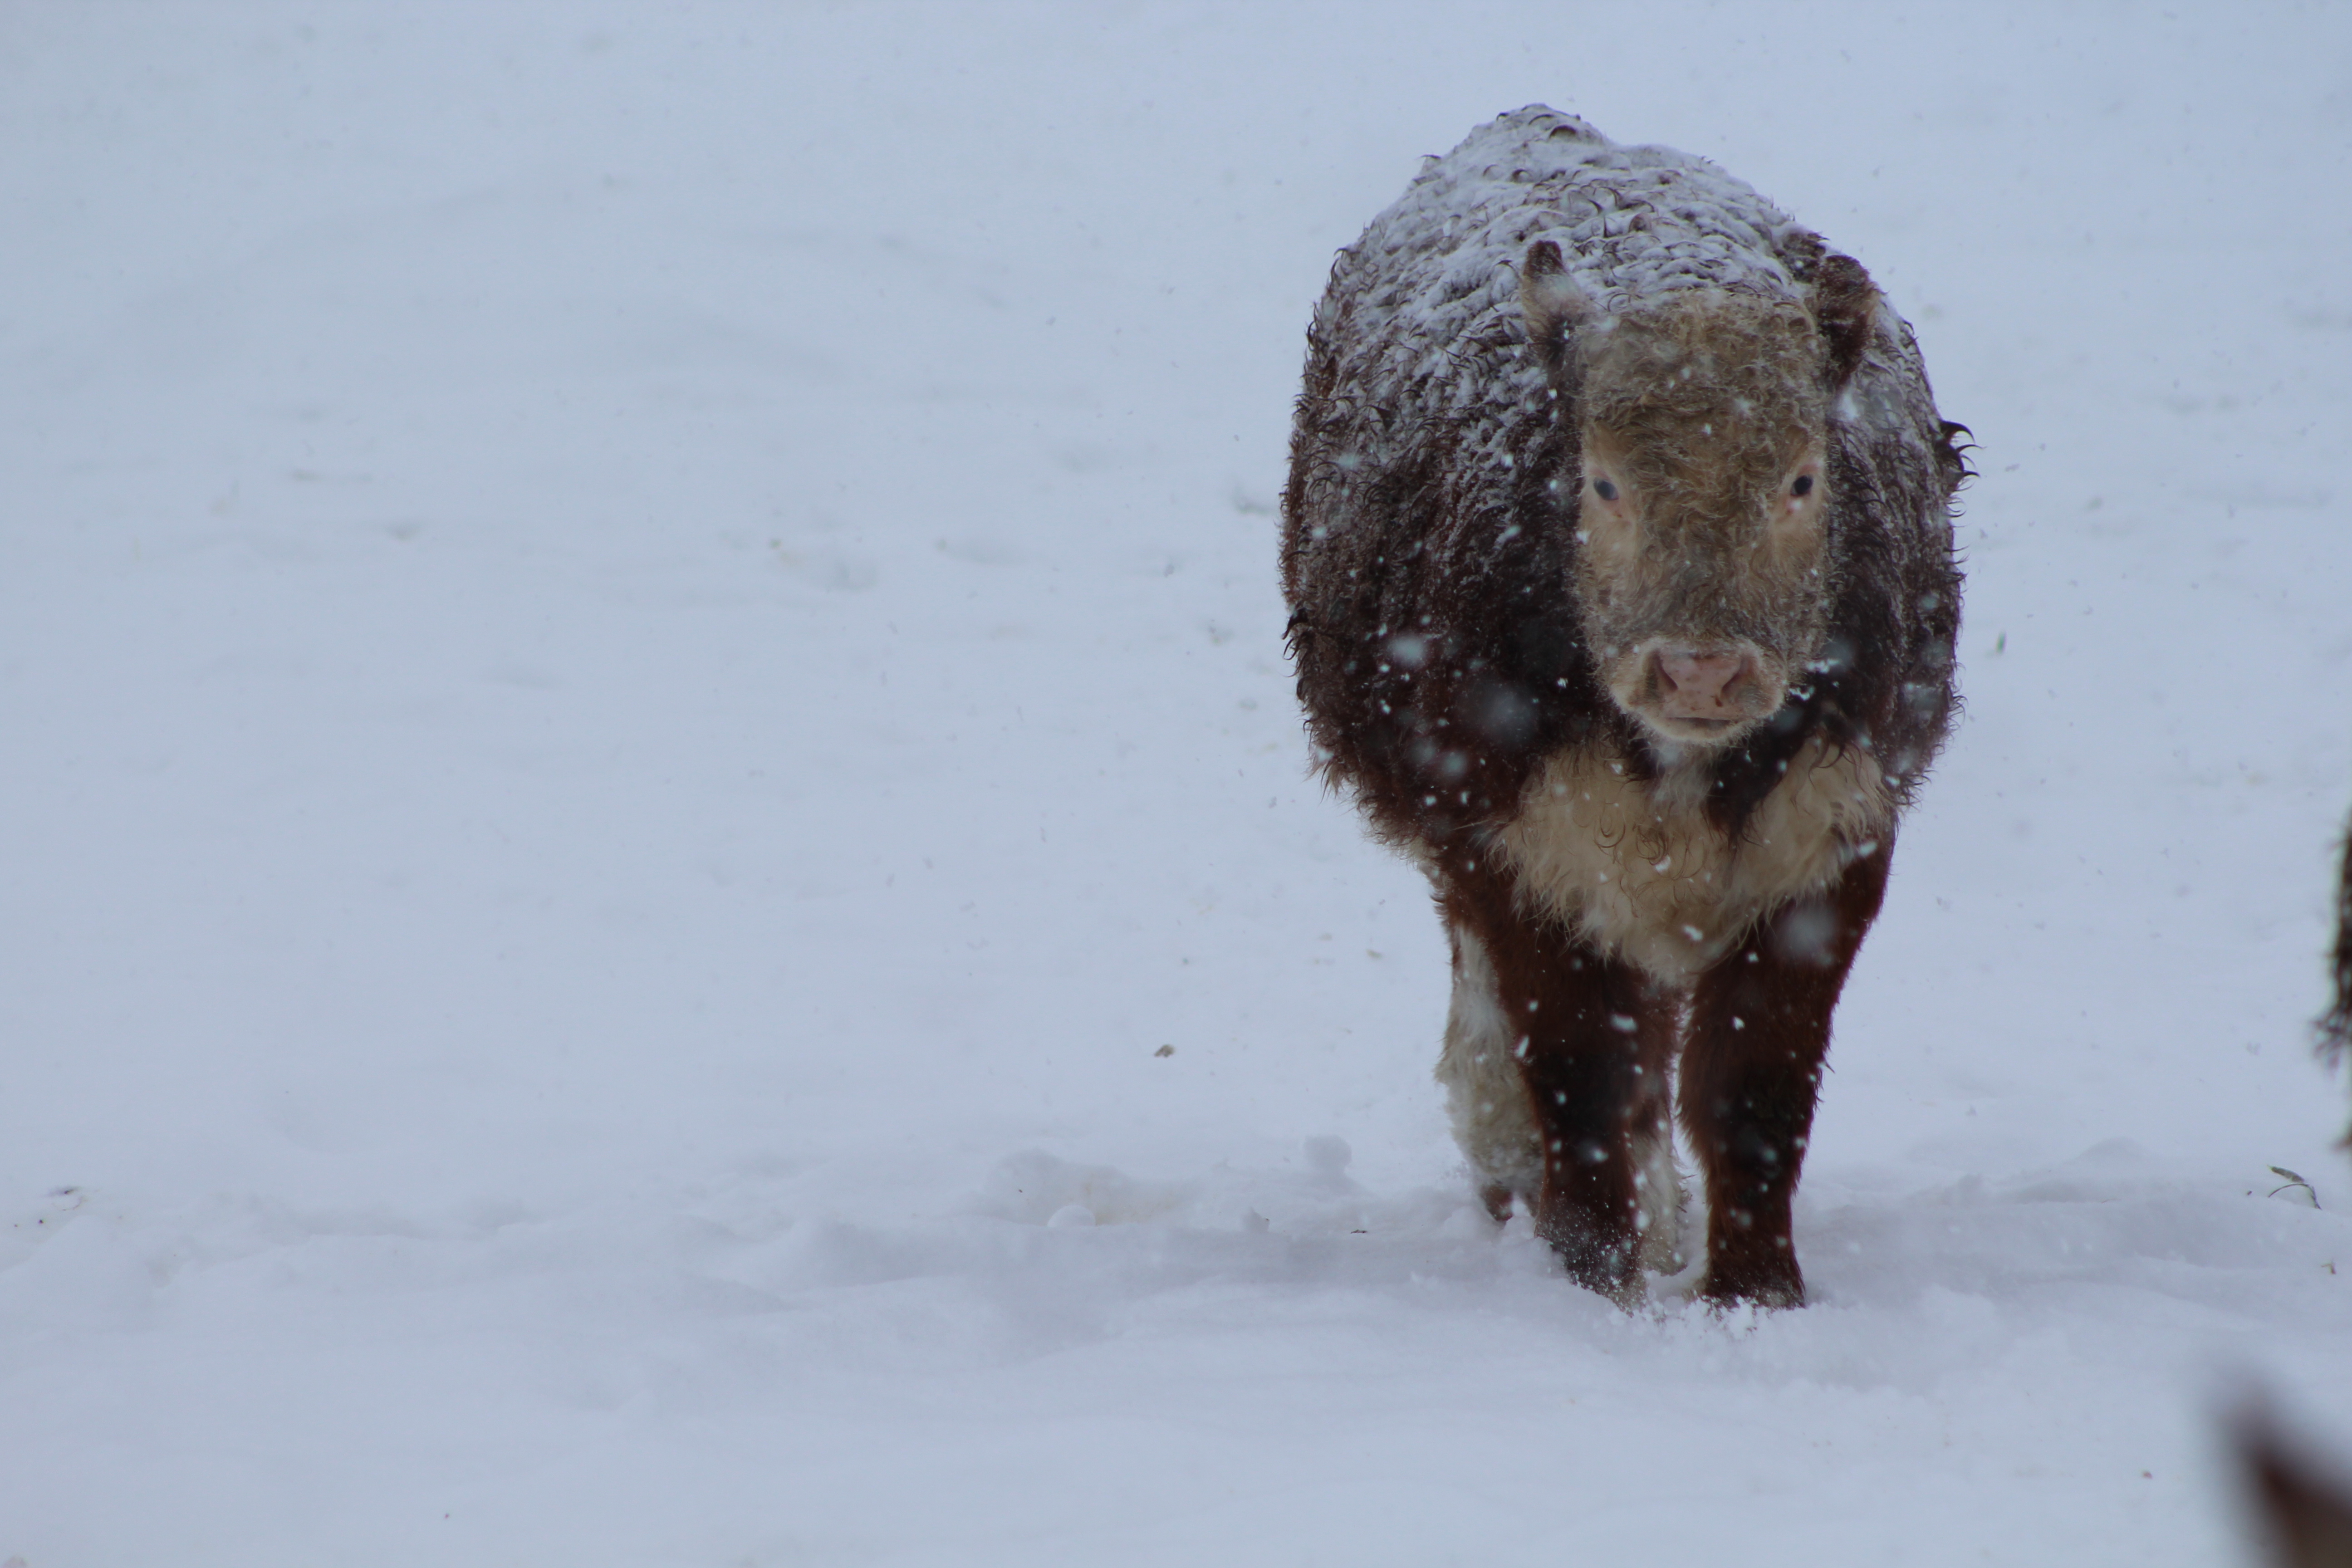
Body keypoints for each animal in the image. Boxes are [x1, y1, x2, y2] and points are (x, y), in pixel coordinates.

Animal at [1281, 108, 1966, 1308]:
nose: (1698, 670)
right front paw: (1593, 1277)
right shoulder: (1520, 848)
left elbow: (1752, 1088)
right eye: (1602, 483)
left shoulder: (1834, 840)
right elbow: (1582, 1073)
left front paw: (1753, 1291)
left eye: (1799, 480)